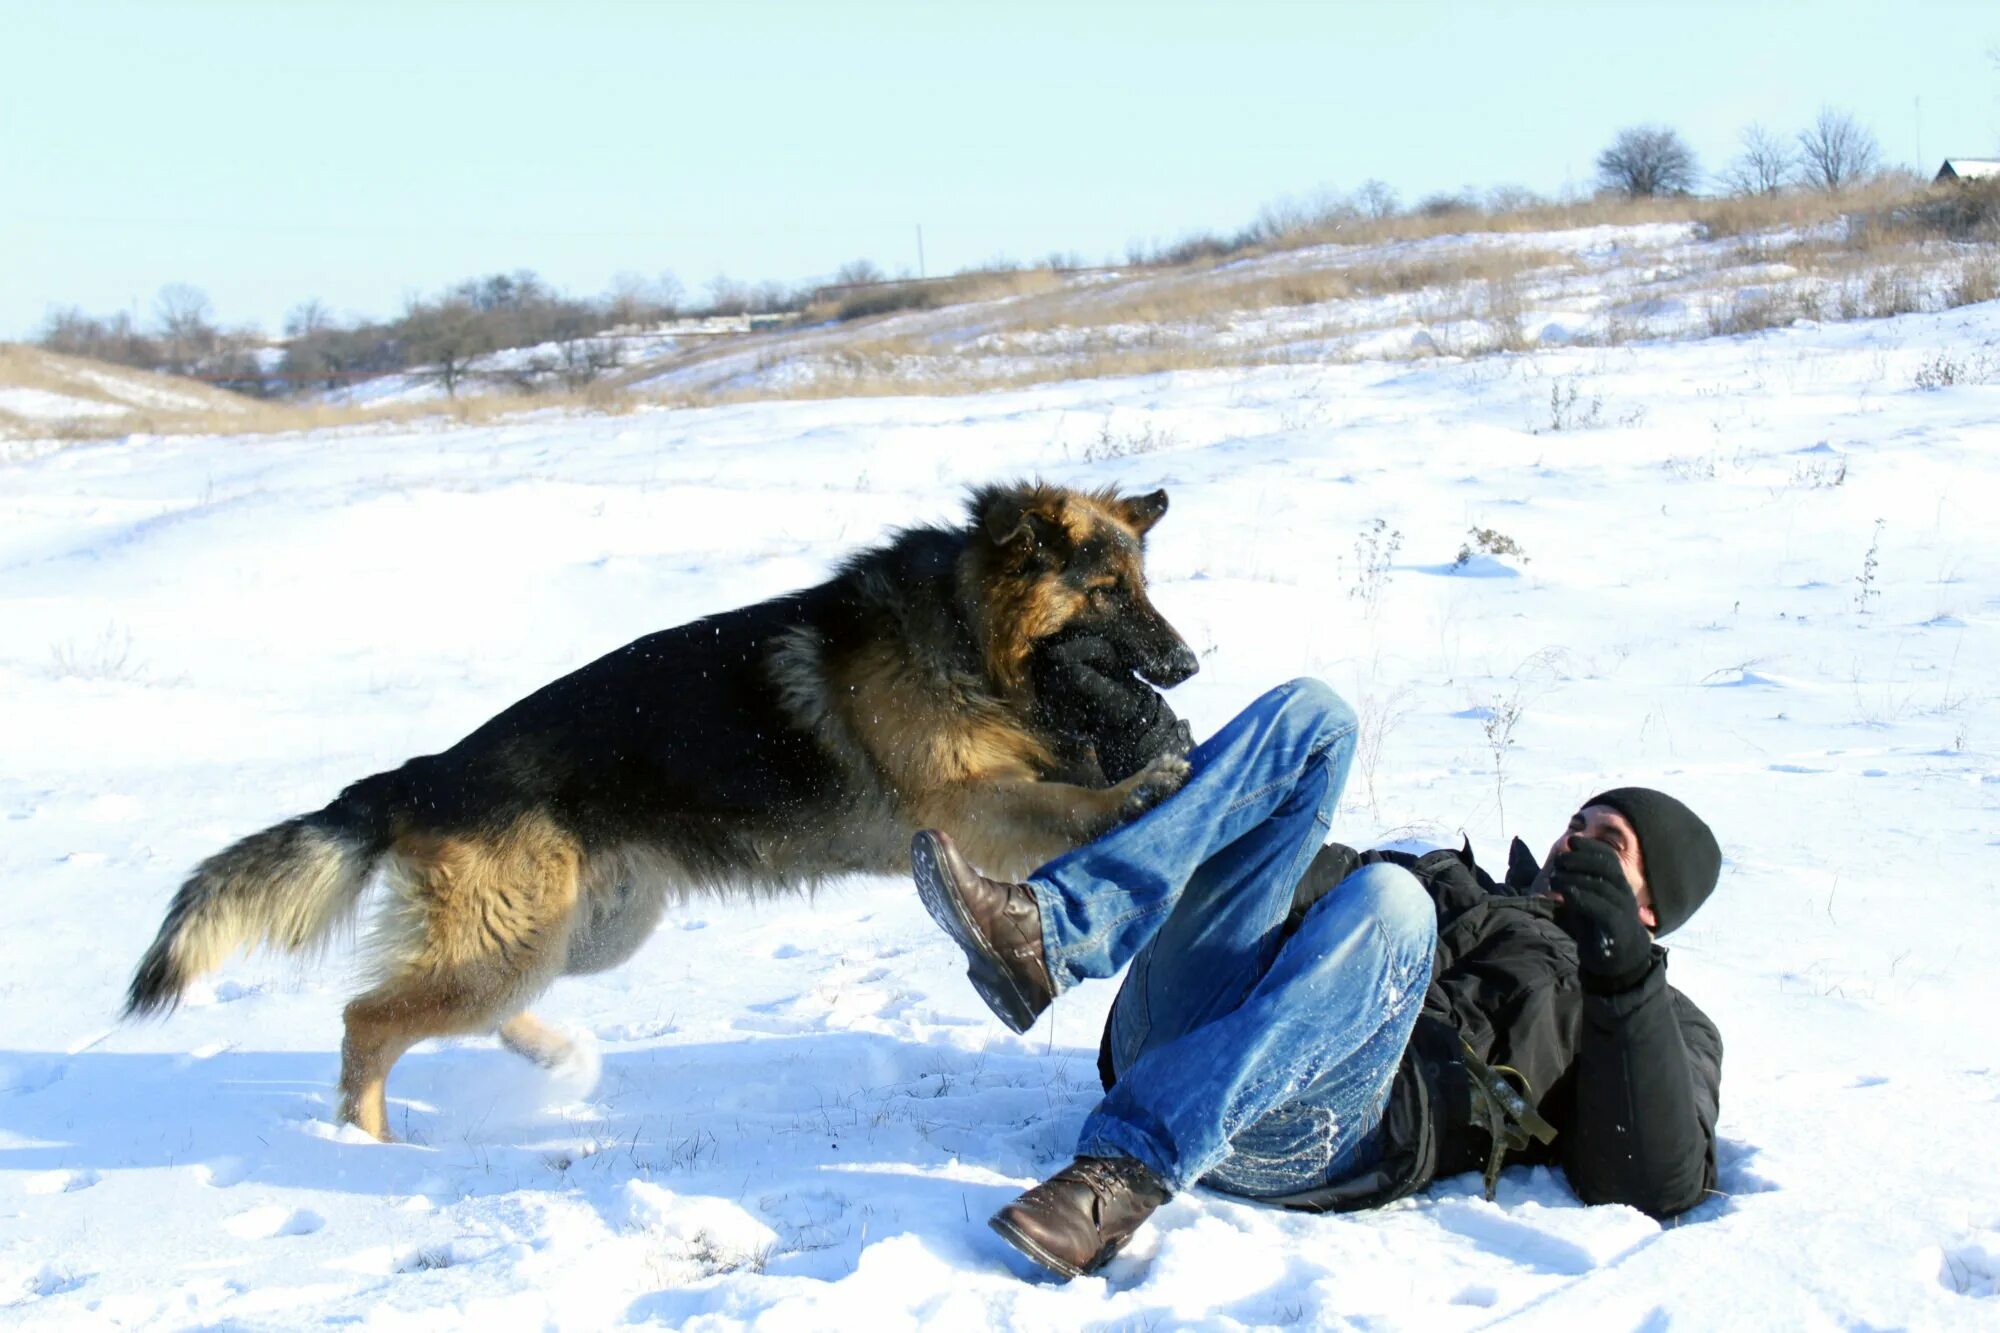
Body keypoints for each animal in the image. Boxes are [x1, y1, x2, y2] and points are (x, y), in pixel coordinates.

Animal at [129, 482, 1200, 1136]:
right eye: (1108, 592)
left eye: (1145, 586)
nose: (1189, 664)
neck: (967, 635)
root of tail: (426, 771)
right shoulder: (971, 808)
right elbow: (1069, 803)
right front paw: (1141, 784)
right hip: (511, 945)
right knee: (367, 1018)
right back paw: (365, 1144)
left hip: (575, 936)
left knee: (456, 1011)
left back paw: (555, 1057)